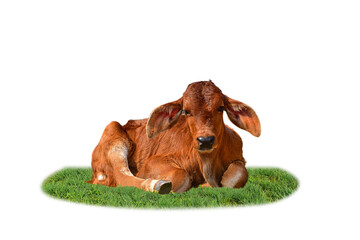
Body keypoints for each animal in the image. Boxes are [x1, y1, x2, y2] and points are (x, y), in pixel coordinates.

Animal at [88, 80, 260, 193]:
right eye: (186, 111)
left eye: (221, 108)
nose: (205, 140)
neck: (207, 165)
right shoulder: (152, 163)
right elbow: (181, 175)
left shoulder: (239, 159)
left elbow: (238, 173)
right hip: (113, 133)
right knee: (120, 175)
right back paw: (157, 185)